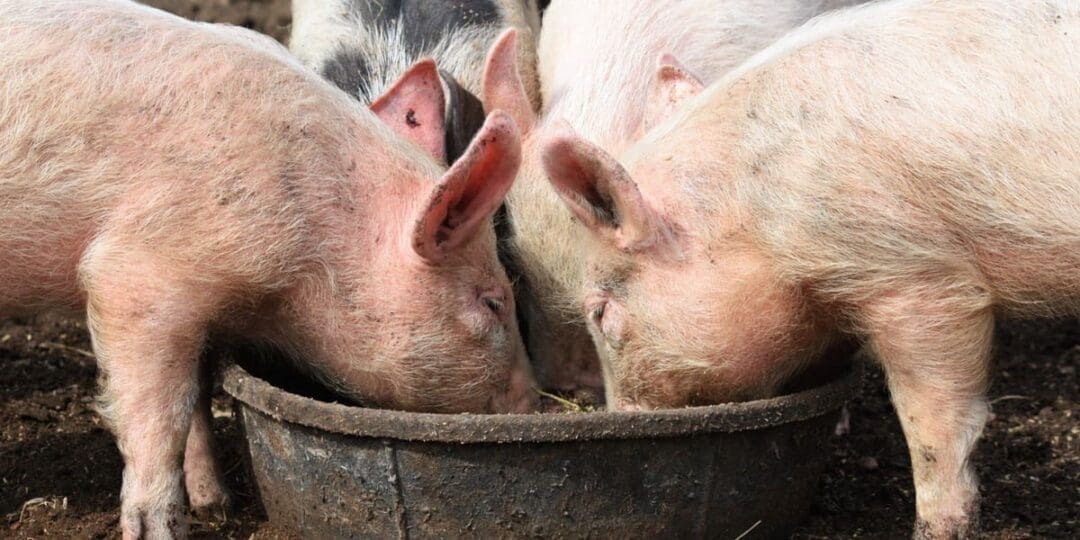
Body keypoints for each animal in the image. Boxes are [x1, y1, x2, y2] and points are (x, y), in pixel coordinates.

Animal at [538, 0, 1080, 537]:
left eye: (600, 313)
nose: (618, 413)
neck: (754, 216)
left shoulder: (916, 276)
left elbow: (932, 423)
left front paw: (934, 529)